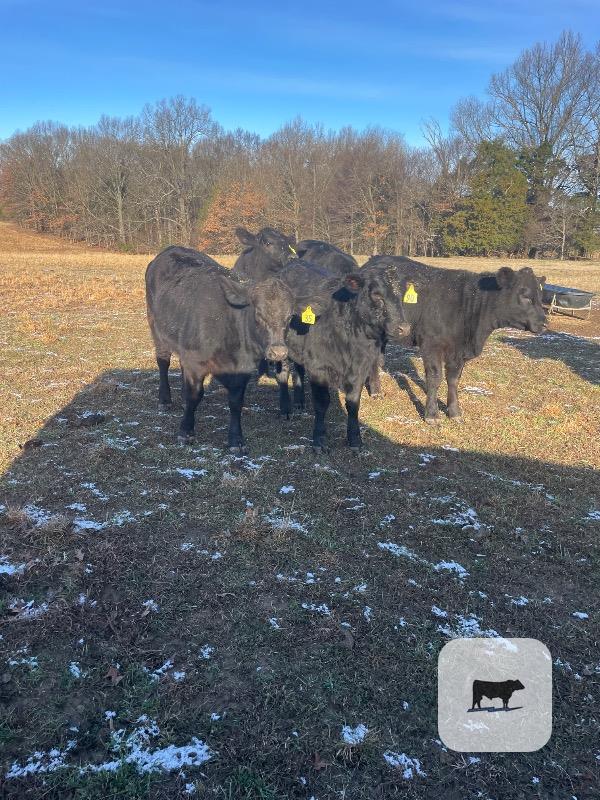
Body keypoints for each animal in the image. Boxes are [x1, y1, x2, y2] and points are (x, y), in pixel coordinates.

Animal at [145, 246, 293, 451]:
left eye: (290, 316)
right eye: (258, 314)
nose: (278, 352)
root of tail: (170, 249)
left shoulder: (242, 370)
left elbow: (235, 402)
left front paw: (236, 440)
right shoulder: (195, 361)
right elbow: (194, 395)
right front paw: (186, 431)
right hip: (156, 329)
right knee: (163, 362)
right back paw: (165, 399)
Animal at [275, 260, 415, 451]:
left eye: (402, 297)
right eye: (377, 295)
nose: (404, 328)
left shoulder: (360, 368)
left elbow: (353, 402)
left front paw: (355, 439)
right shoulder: (319, 367)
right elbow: (322, 403)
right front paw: (319, 440)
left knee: (298, 370)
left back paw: (299, 401)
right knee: (283, 374)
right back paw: (286, 409)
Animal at [363, 256, 547, 424]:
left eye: (540, 296)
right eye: (525, 296)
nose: (544, 323)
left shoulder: (458, 350)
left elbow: (453, 379)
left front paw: (454, 412)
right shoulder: (431, 344)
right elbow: (435, 377)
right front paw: (432, 415)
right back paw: (376, 391)